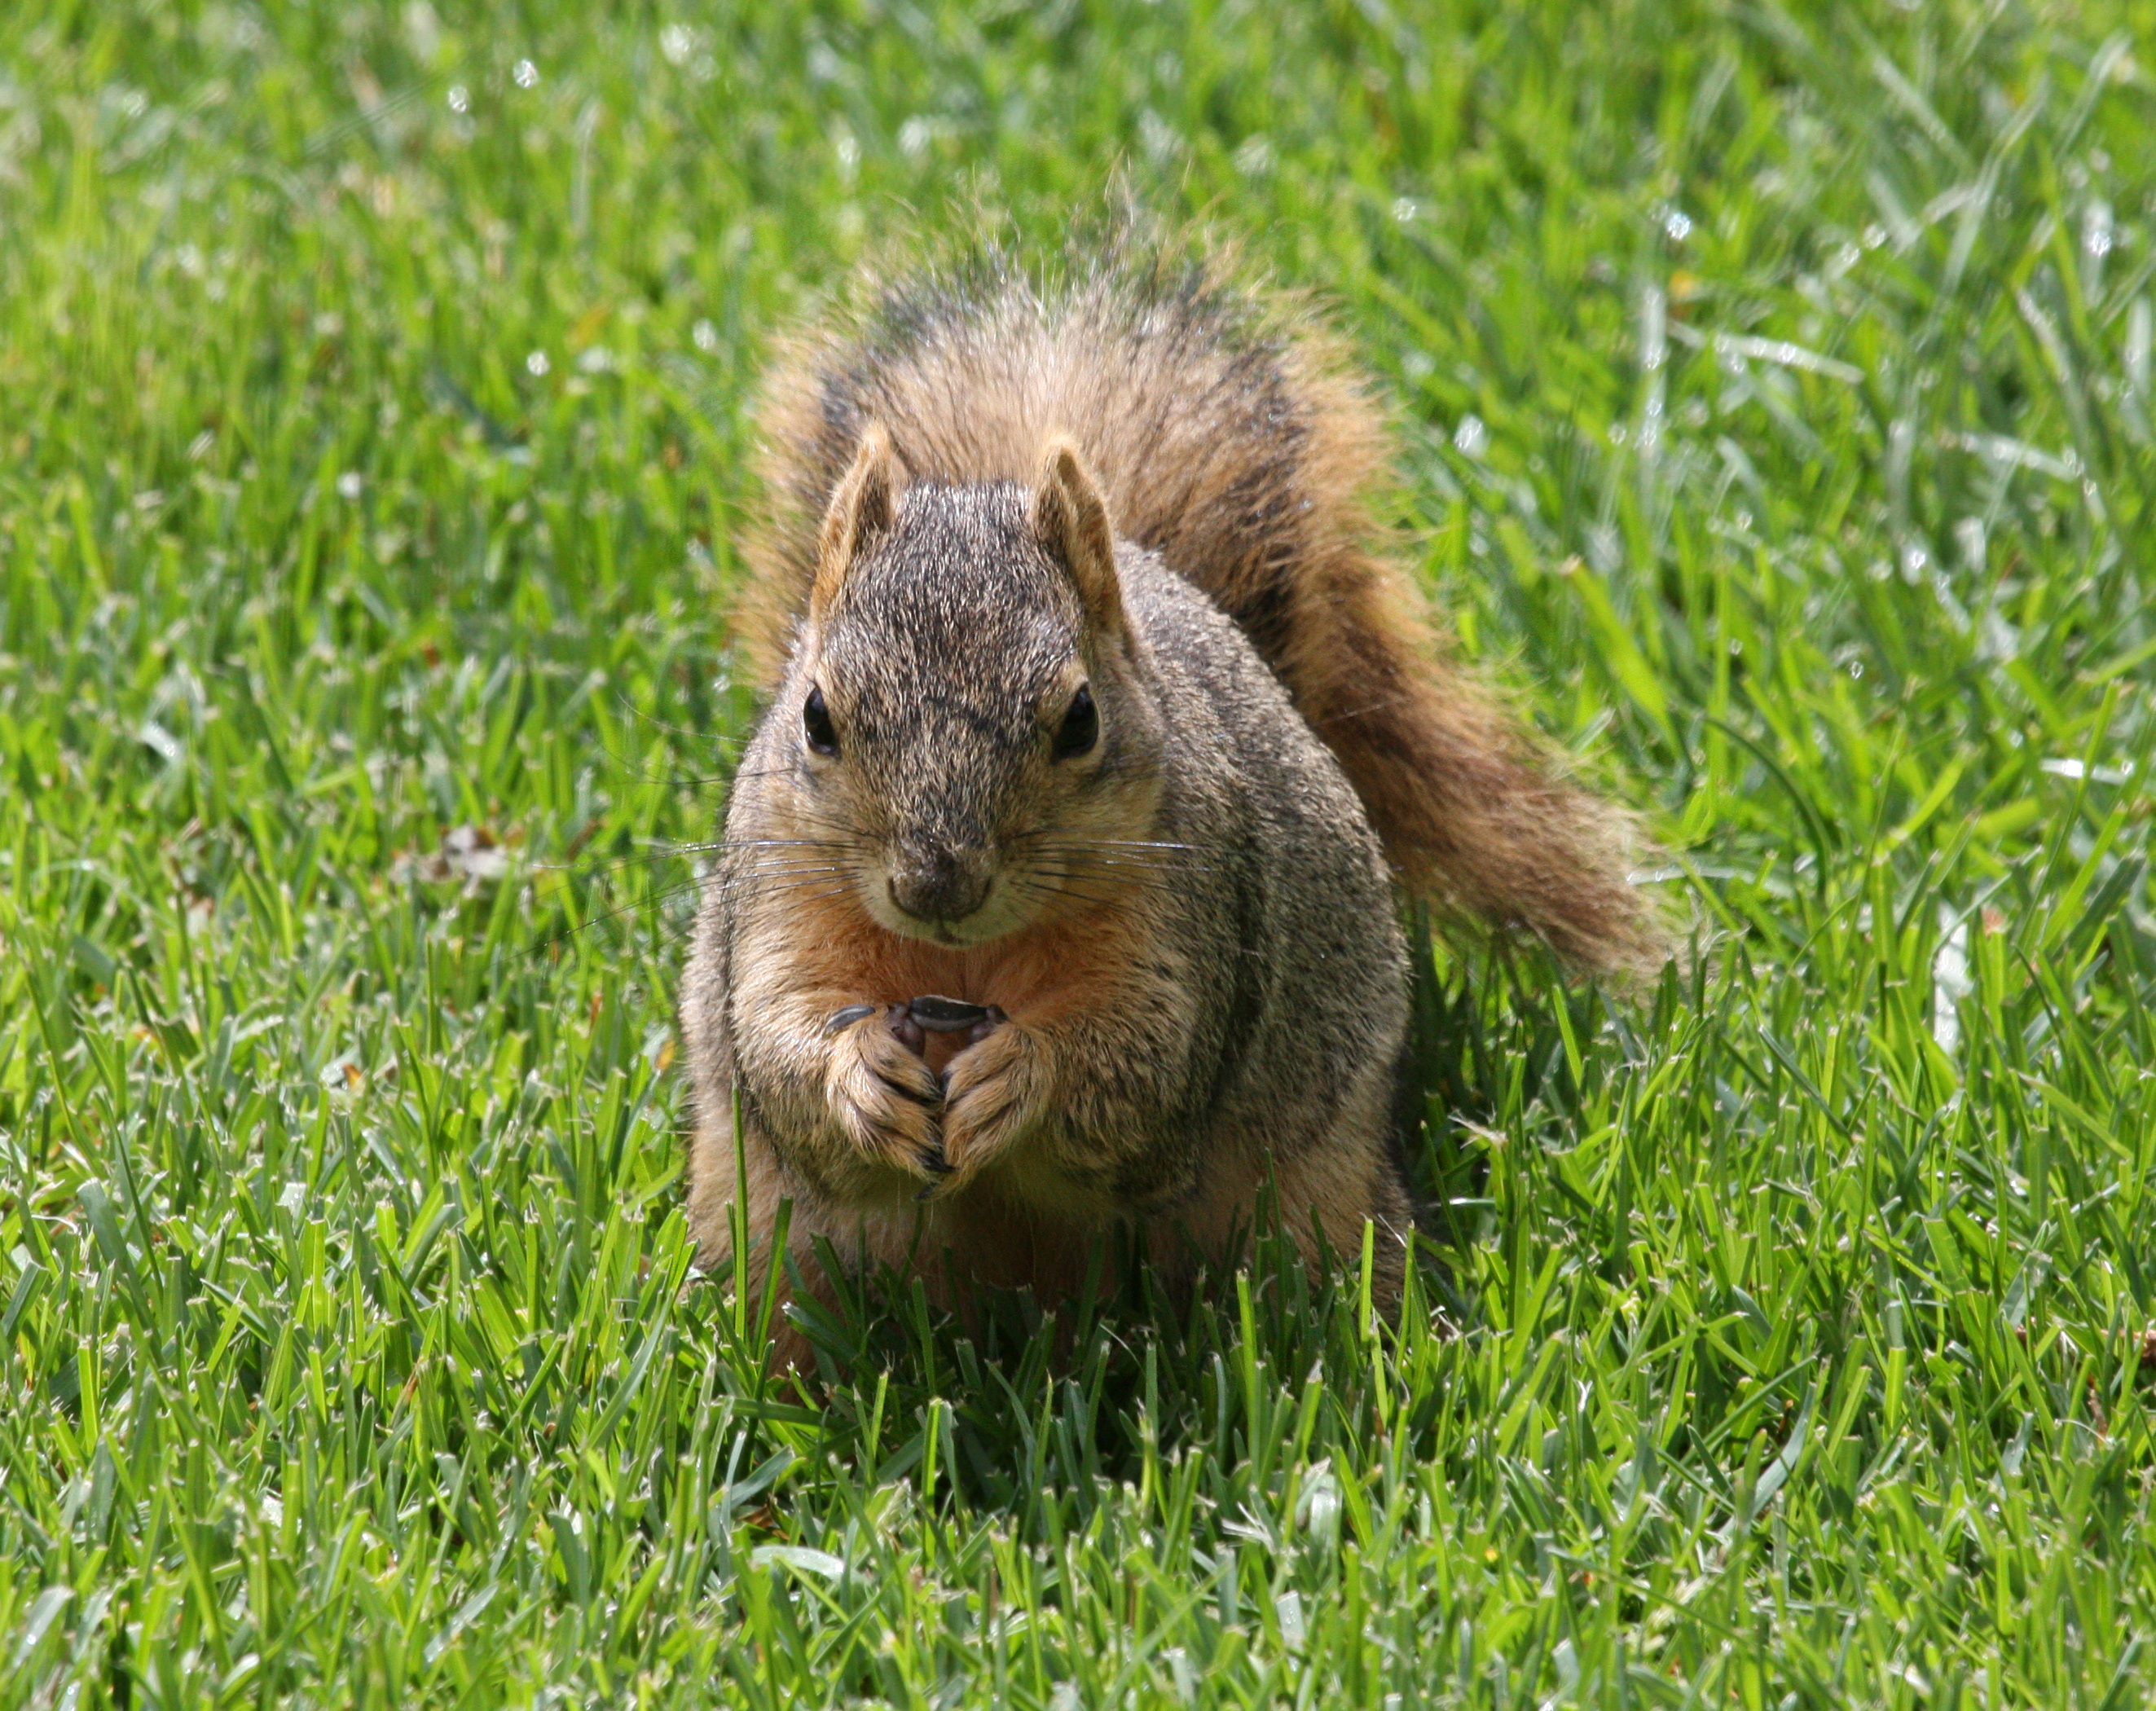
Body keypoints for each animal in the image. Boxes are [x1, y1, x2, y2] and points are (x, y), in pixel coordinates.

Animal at [681, 236, 1656, 1361]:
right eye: (816, 717)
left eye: (1080, 720)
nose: (935, 886)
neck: (968, 960)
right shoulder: (778, 900)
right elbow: (777, 1045)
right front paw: (858, 1075)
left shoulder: (1194, 915)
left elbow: (1140, 1077)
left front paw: (1025, 1074)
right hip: (778, 1245)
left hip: (1319, 1204)